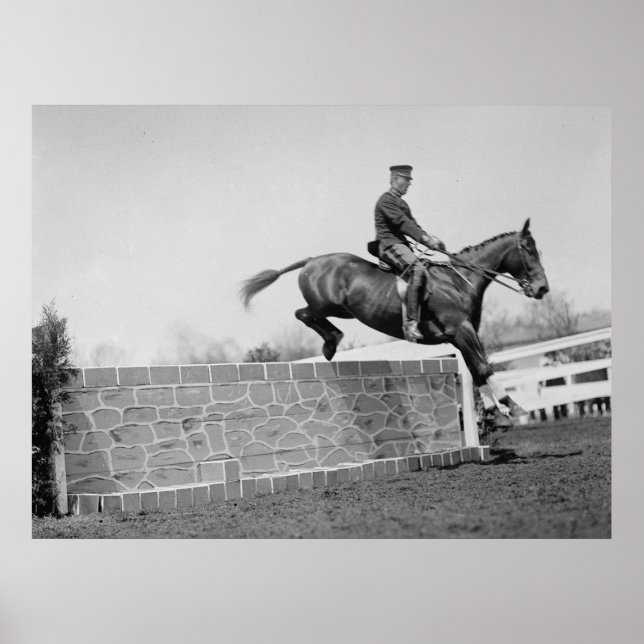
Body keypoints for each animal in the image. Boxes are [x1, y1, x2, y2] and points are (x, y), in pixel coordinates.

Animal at [240, 218, 549, 427]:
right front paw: (512, 407)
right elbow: (483, 367)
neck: (459, 282)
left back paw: (332, 341)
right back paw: (330, 344)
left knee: (309, 316)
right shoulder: (461, 330)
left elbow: (476, 370)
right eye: (528, 250)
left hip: (342, 310)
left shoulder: (461, 336)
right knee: (303, 314)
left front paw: (495, 411)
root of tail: (312, 260)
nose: (542, 288)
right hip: (328, 305)